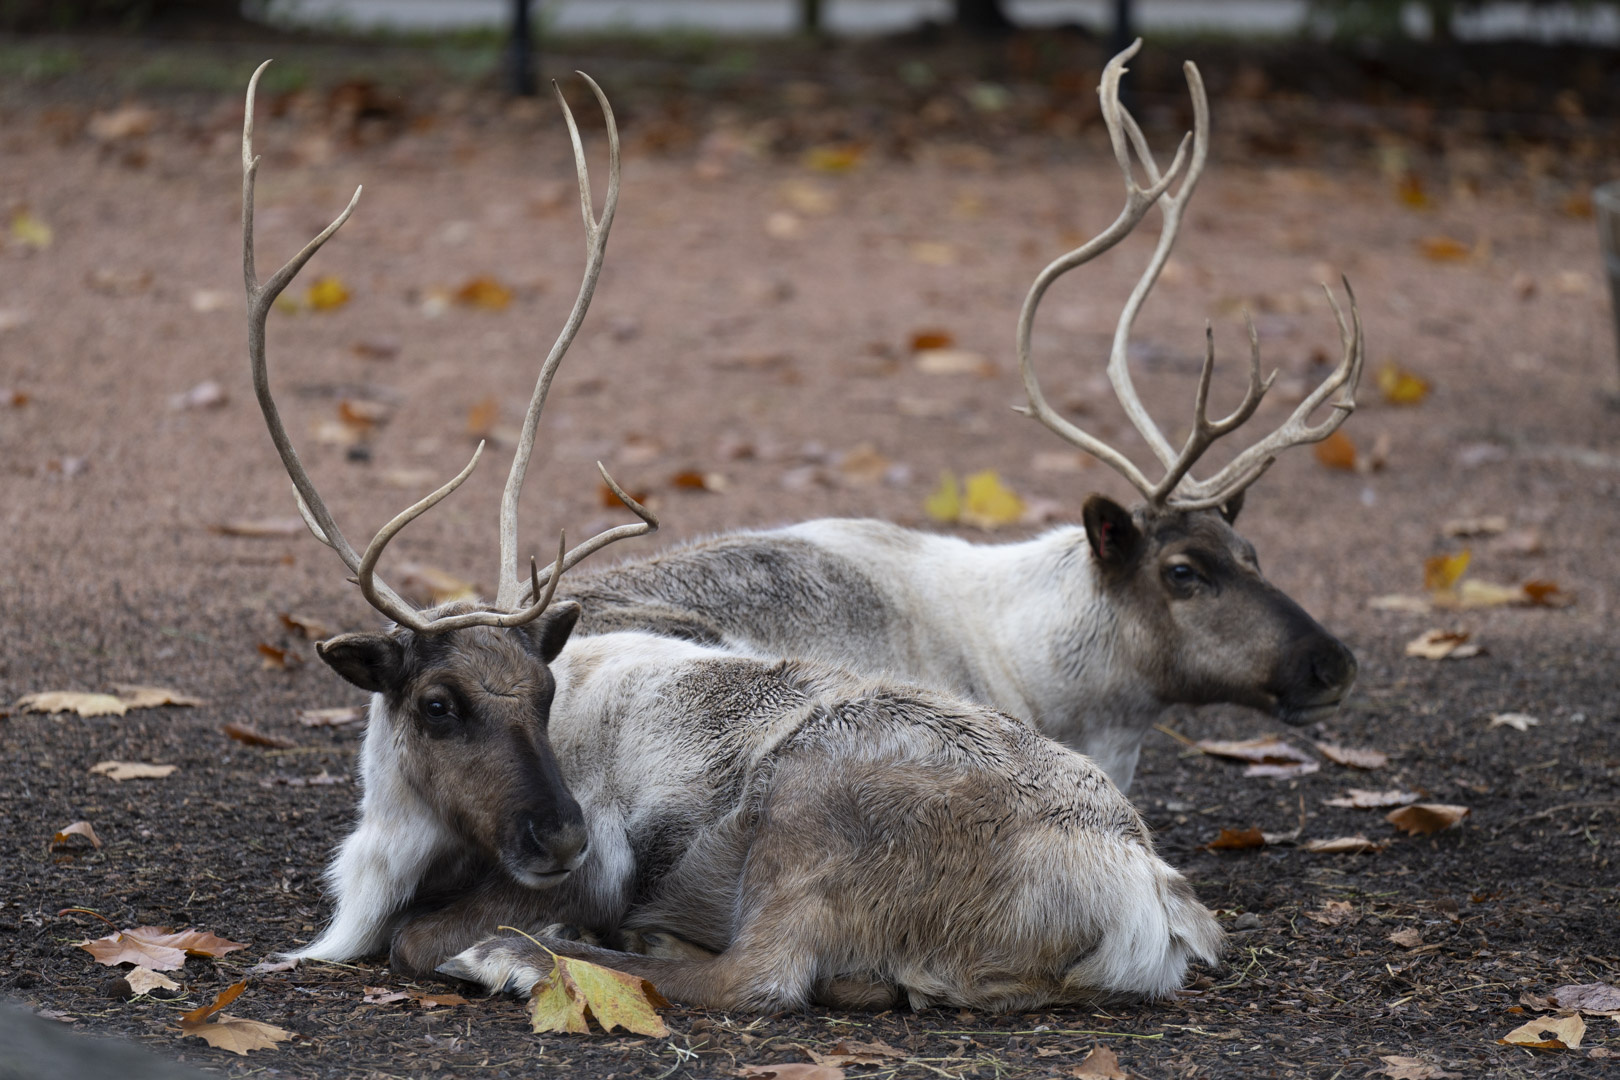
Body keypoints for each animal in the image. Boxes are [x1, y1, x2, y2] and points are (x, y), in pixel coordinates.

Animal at [239, 60, 1223, 1012]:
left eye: (542, 691)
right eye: (438, 704)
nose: (564, 835)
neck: (401, 836)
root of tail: (1150, 893)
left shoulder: (576, 875)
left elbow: (415, 938)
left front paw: (519, 940)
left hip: (809, 821)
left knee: (760, 979)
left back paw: (536, 958)